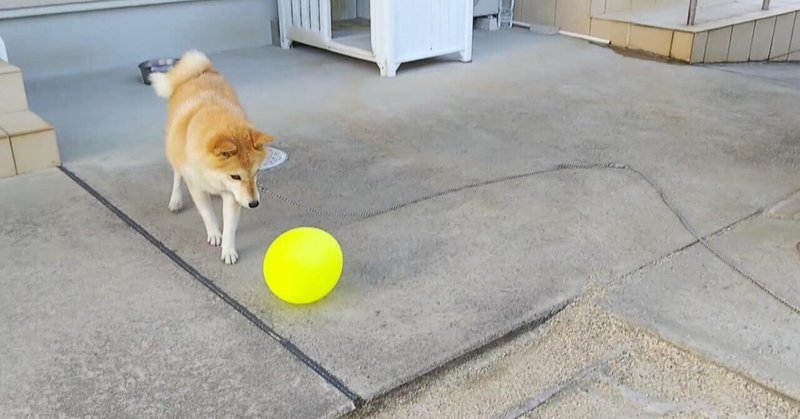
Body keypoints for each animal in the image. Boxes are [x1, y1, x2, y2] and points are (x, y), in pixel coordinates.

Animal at [149, 50, 272, 266]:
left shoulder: (232, 195)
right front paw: (215, 233)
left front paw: (228, 250)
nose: (254, 203)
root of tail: (201, 70)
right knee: (177, 175)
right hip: (174, 148)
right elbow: (207, 213)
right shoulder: (197, 187)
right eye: (235, 176)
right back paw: (176, 199)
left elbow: (230, 225)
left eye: (256, 172)